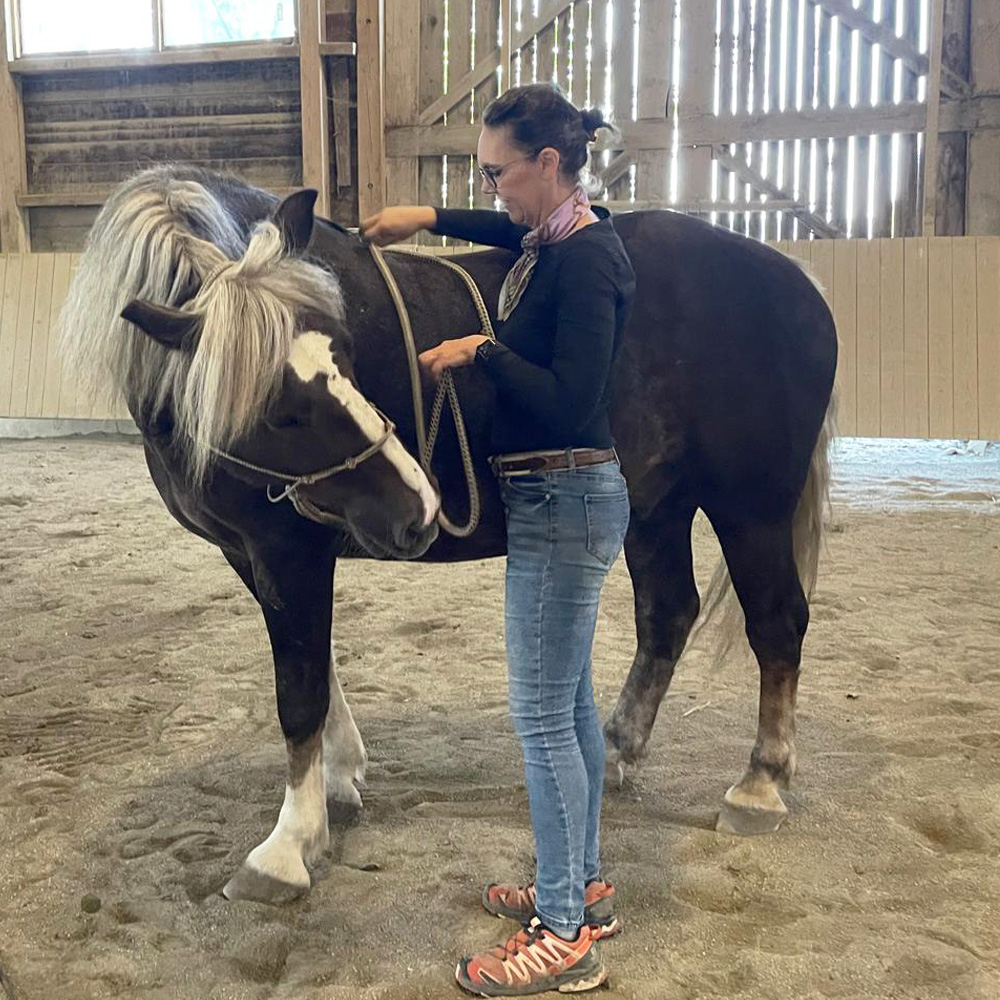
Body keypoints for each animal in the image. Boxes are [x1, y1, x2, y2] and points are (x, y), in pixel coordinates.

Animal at [56, 166, 836, 908]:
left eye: (346, 355)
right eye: (281, 411)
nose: (419, 507)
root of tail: (795, 281)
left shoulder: (290, 550)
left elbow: (298, 689)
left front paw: (287, 846)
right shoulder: (246, 553)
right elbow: (317, 664)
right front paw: (340, 778)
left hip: (749, 507)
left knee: (776, 622)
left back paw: (760, 784)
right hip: (655, 507)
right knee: (667, 614)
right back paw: (616, 752)